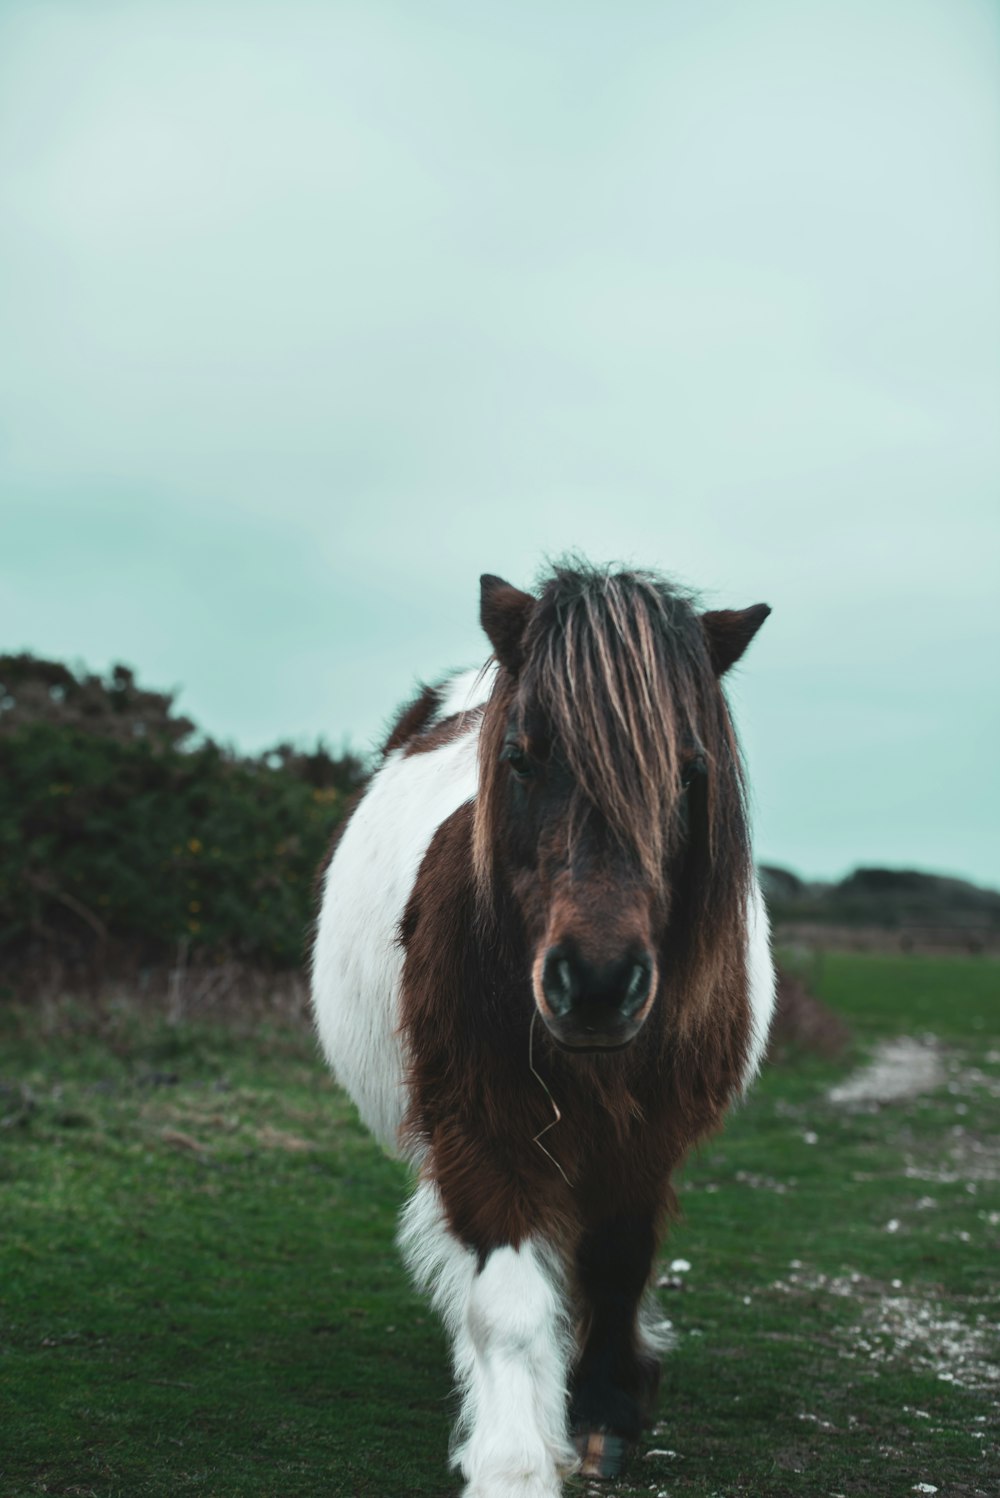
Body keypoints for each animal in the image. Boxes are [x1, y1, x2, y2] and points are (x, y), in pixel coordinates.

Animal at [309, 563, 772, 1498]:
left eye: (691, 770)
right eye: (520, 759)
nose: (594, 986)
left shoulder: (646, 1142)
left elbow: (617, 1265)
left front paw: (600, 1415)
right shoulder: (482, 1131)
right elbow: (507, 1300)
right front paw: (515, 1458)